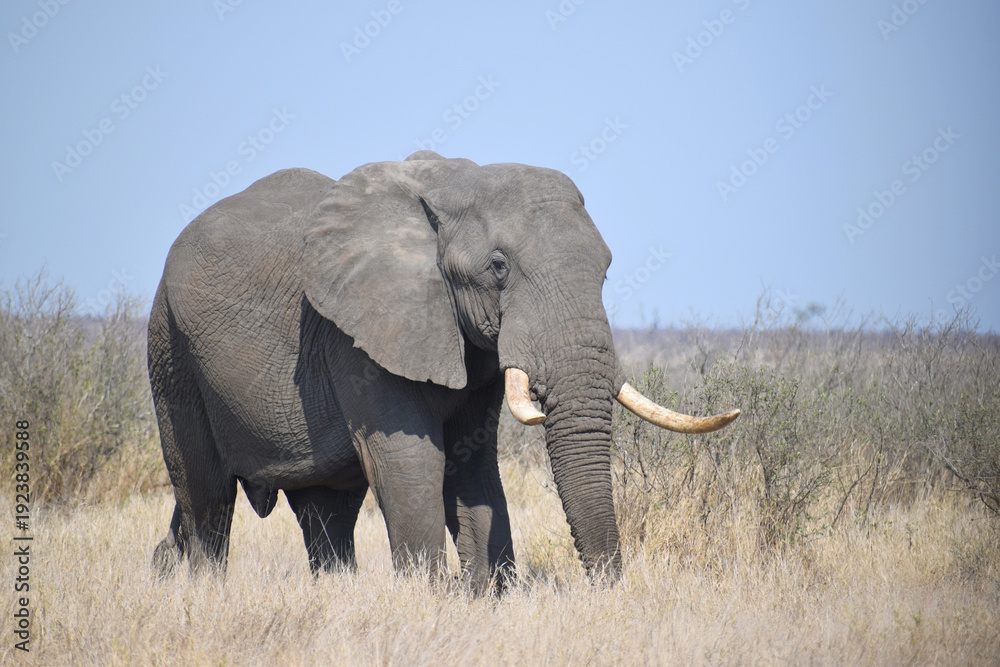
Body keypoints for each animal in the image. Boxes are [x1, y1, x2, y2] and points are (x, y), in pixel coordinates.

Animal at [148, 150, 739, 593]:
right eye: (498, 267)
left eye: (607, 269)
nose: (607, 591)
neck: (449, 187)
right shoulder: (360, 332)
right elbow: (411, 460)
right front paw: (427, 598)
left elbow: (471, 462)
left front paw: (489, 597)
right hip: (170, 349)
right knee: (207, 496)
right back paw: (197, 588)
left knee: (325, 511)